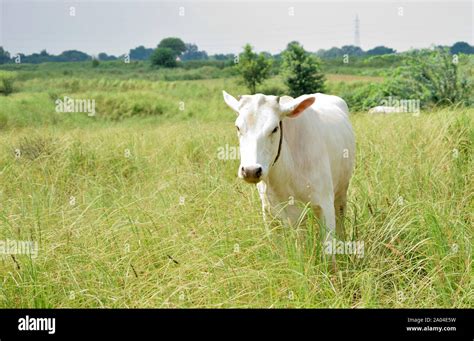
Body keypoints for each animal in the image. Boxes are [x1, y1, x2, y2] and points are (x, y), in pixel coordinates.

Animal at [224, 91, 354, 243]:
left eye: (275, 128)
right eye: (238, 127)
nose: (251, 171)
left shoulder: (325, 204)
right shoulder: (269, 211)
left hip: (341, 193)